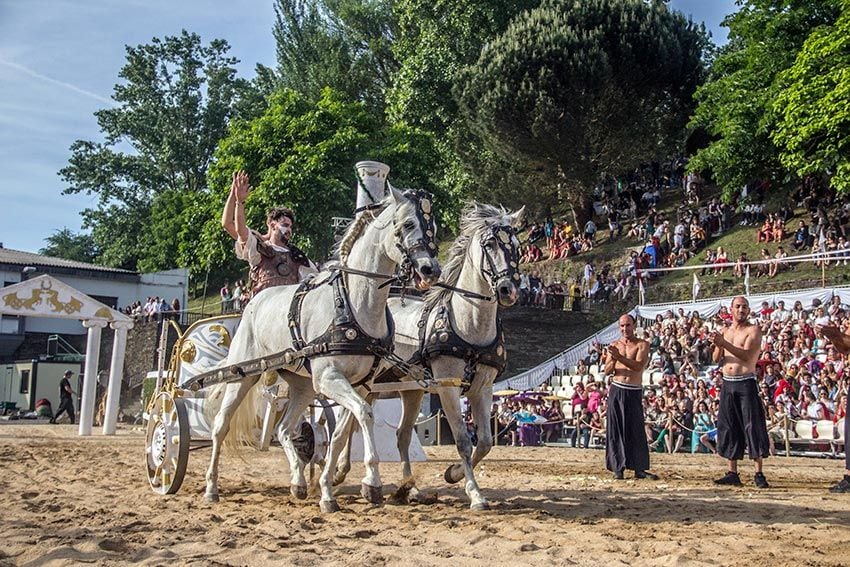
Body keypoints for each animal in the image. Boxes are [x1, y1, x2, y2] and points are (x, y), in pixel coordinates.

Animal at [205, 187, 440, 516]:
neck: (354, 304)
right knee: (221, 426)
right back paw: (211, 487)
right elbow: (365, 415)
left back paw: (299, 483)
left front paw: (329, 487)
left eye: (432, 225)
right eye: (407, 224)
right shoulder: (330, 378)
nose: (431, 270)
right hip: (242, 377)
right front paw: (371, 481)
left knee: (285, 429)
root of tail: (252, 302)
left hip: (303, 385)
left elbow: (341, 433)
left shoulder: (360, 384)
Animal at [332, 203, 524, 510]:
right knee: (351, 420)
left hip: (407, 390)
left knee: (399, 434)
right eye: (490, 244)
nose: (508, 290)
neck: (468, 324)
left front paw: (453, 473)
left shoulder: (482, 388)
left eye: (517, 246)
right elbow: (463, 440)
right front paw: (475, 493)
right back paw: (341, 473)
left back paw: (408, 488)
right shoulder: (447, 388)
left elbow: (484, 442)